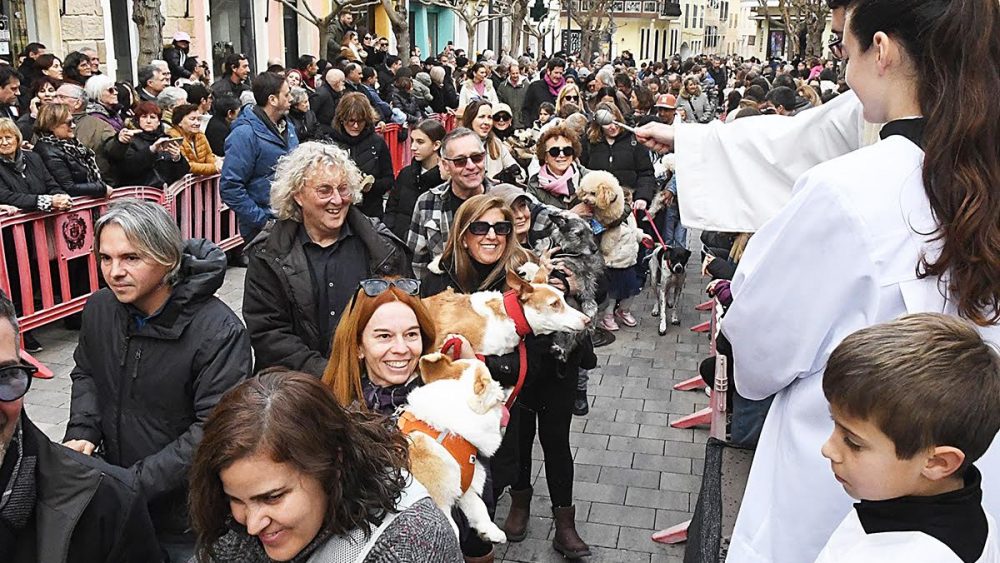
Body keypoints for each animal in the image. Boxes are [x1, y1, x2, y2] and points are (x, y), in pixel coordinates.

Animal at [398, 354, 508, 544]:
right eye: (488, 379)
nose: (500, 386)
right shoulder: (440, 502)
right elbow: (453, 529)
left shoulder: (464, 486)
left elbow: (479, 508)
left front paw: (490, 531)